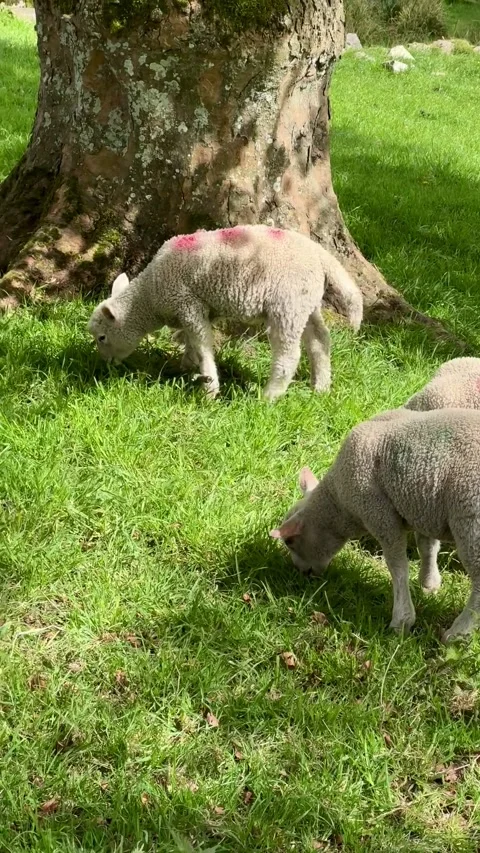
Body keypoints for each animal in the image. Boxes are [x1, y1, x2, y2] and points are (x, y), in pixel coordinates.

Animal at [87, 224, 363, 401]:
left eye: (102, 337)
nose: (105, 365)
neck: (150, 295)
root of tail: (321, 255)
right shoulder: (203, 308)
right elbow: (192, 341)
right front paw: (187, 365)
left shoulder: (187, 302)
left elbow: (202, 343)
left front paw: (209, 387)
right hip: (305, 303)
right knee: (320, 340)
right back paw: (321, 387)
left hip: (287, 304)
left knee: (289, 354)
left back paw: (269, 397)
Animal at [270, 407, 480, 642]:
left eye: (289, 541)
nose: (301, 572)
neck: (340, 504)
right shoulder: (423, 508)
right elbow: (427, 546)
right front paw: (429, 582)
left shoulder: (378, 513)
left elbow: (397, 566)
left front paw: (402, 620)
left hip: (471, 524)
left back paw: (457, 632)